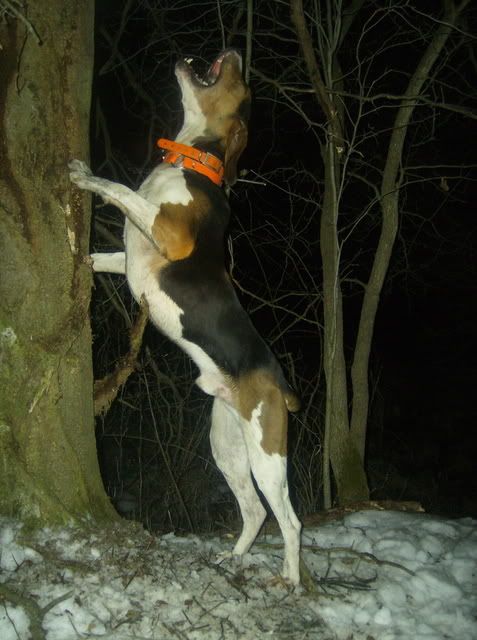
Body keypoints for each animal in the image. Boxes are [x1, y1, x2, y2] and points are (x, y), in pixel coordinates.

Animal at [70, 49, 301, 584]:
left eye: (245, 88)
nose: (233, 52)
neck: (190, 159)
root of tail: (280, 382)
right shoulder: (130, 255)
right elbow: (99, 256)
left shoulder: (167, 230)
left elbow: (117, 188)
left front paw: (84, 174)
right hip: (226, 444)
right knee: (254, 511)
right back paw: (232, 559)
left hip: (267, 451)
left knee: (290, 520)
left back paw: (292, 579)